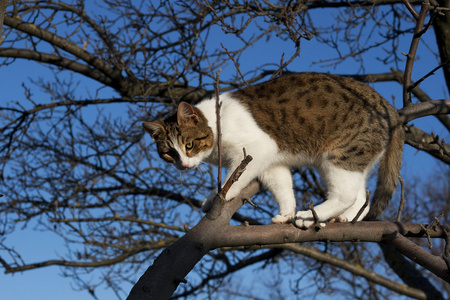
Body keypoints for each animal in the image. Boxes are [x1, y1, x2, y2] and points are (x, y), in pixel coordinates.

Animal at [142, 72, 402, 227]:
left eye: (189, 145)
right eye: (169, 153)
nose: (184, 165)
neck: (217, 125)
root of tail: (385, 104)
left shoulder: (256, 148)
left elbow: (233, 178)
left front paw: (216, 196)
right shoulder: (271, 161)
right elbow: (282, 186)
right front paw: (286, 212)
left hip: (339, 155)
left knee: (345, 194)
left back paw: (309, 217)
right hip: (358, 158)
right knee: (361, 196)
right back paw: (346, 217)